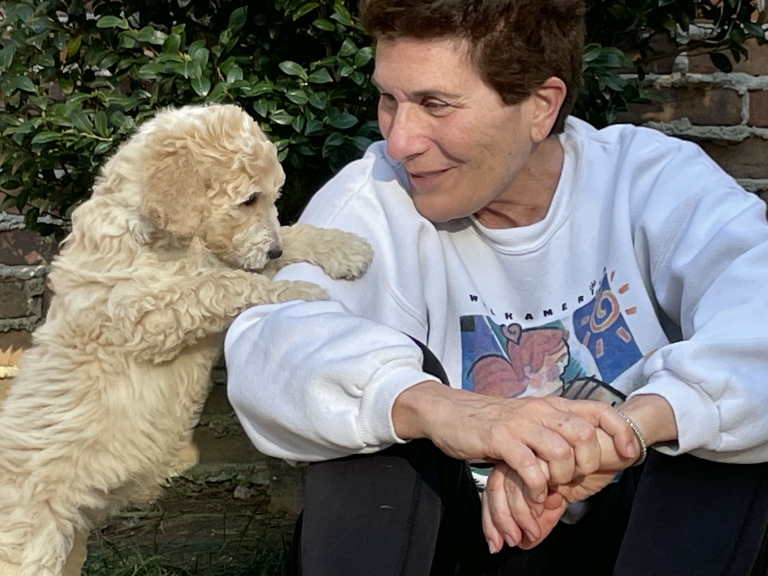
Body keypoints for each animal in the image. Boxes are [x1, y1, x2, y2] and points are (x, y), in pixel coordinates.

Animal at [0, 104, 373, 576]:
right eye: (248, 200)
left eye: (273, 196)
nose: (269, 252)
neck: (154, 230)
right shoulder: (144, 314)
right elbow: (219, 286)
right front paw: (296, 291)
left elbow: (283, 239)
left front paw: (343, 249)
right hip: (29, 548)